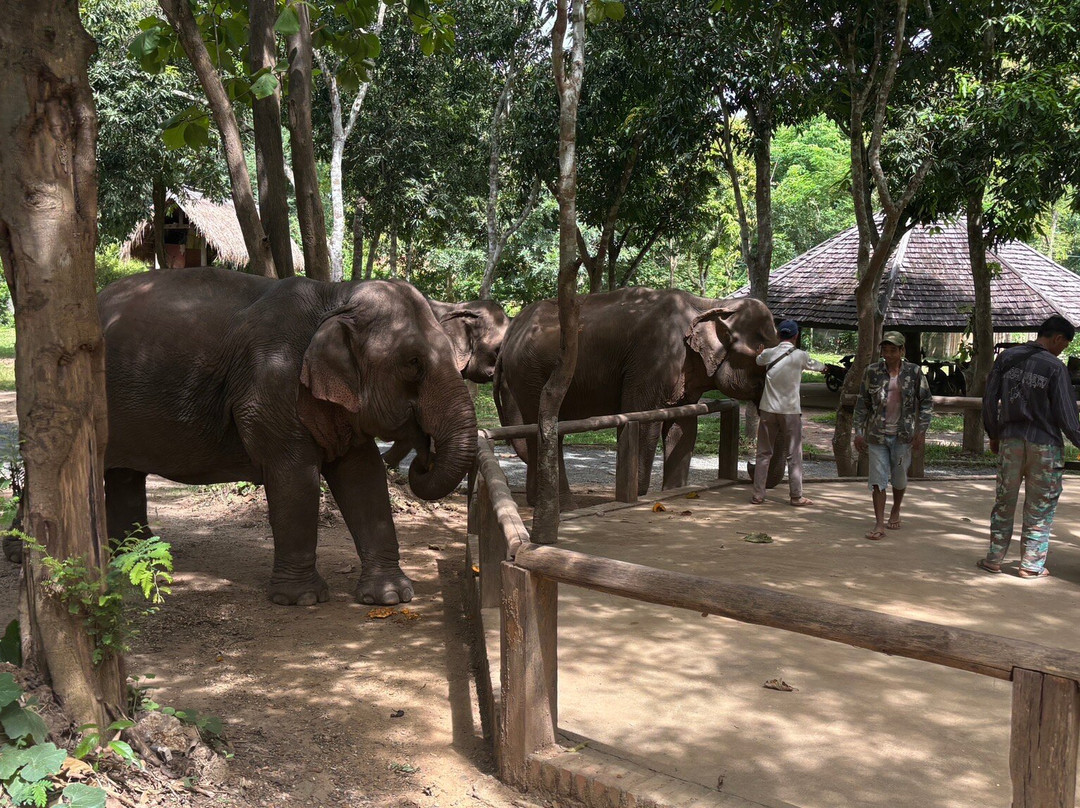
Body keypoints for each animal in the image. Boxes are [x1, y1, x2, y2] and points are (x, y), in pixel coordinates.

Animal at [97, 267, 477, 606]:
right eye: (413, 363)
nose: (423, 460)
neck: (335, 295)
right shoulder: (271, 385)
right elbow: (294, 476)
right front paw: (302, 599)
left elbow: (363, 475)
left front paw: (391, 597)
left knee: (123, 475)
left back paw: (137, 555)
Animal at [494, 287, 780, 505]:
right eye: (760, 362)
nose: (750, 466)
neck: (712, 304)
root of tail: (510, 333)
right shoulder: (652, 360)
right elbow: (641, 418)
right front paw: (639, 495)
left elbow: (683, 426)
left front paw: (674, 492)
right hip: (530, 373)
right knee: (541, 425)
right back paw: (562, 504)